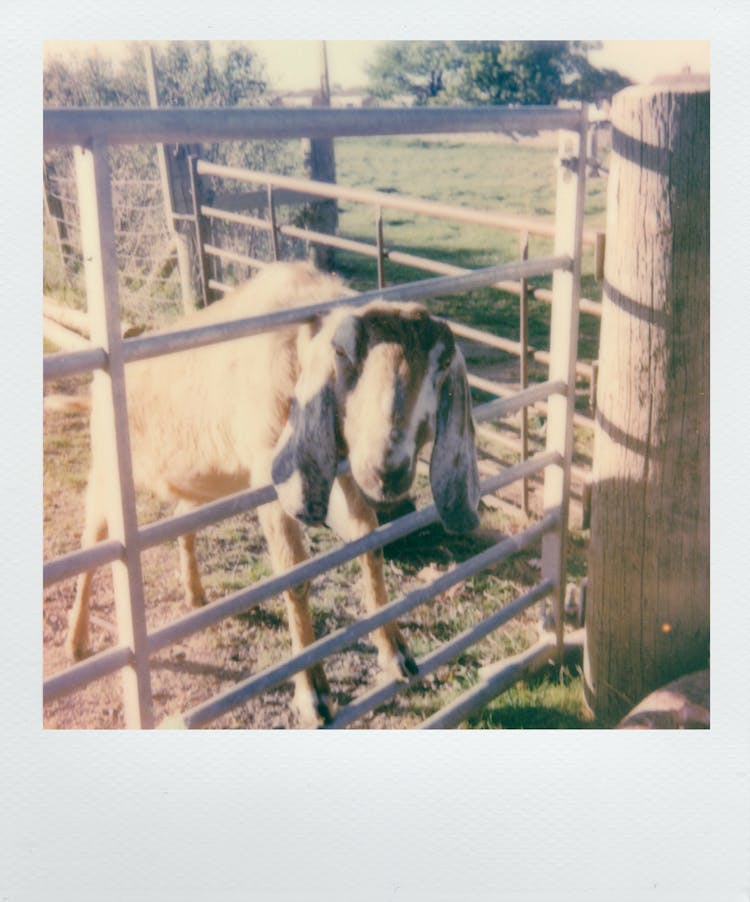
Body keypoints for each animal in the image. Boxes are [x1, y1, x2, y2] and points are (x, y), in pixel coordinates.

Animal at [60, 262, 482, 728]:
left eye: (442, 364)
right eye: (341, 354)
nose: (388, 468)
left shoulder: (341, 468)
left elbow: (370, 545)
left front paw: (396, 653)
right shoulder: (273, 476)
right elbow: (294, 578)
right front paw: (313, 694)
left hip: (204, 479)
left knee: (183, 521)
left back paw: (194, 594)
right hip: (107, 473)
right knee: (92, 544)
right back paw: (76, 641)